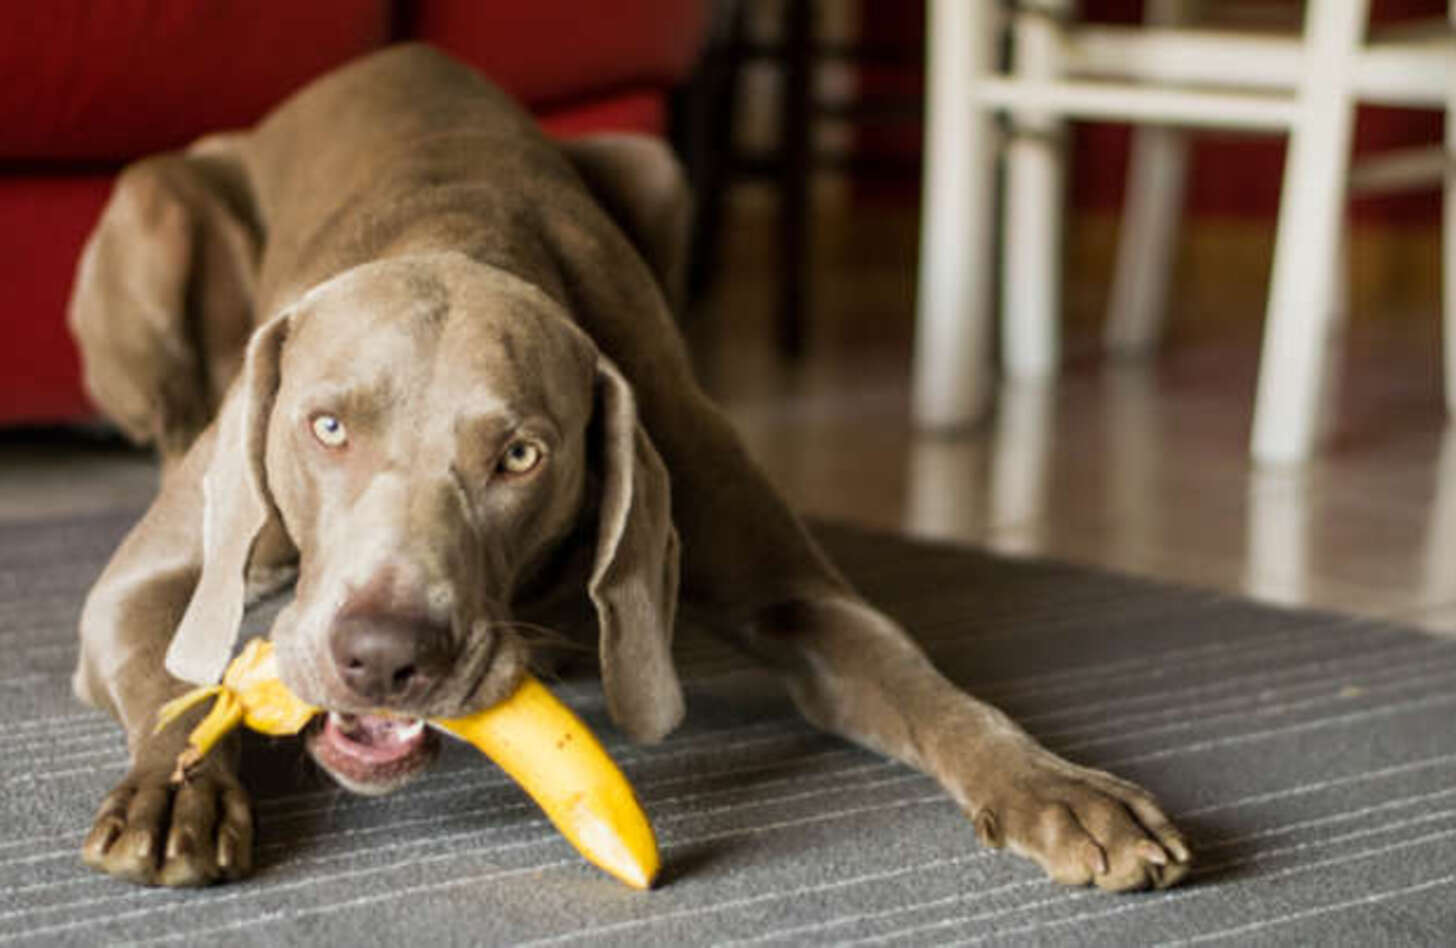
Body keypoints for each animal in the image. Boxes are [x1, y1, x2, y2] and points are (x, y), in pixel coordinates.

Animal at [65, 42, 1193, 891]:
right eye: (328, 427)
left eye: (521, 456)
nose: (384, 657)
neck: (458, 233)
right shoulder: (143, 584)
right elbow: (171, 681)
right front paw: (175, 791)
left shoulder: (789, 581)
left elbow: (928, 687)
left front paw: (1057, 787)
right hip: (154, 205)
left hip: (657, 164)